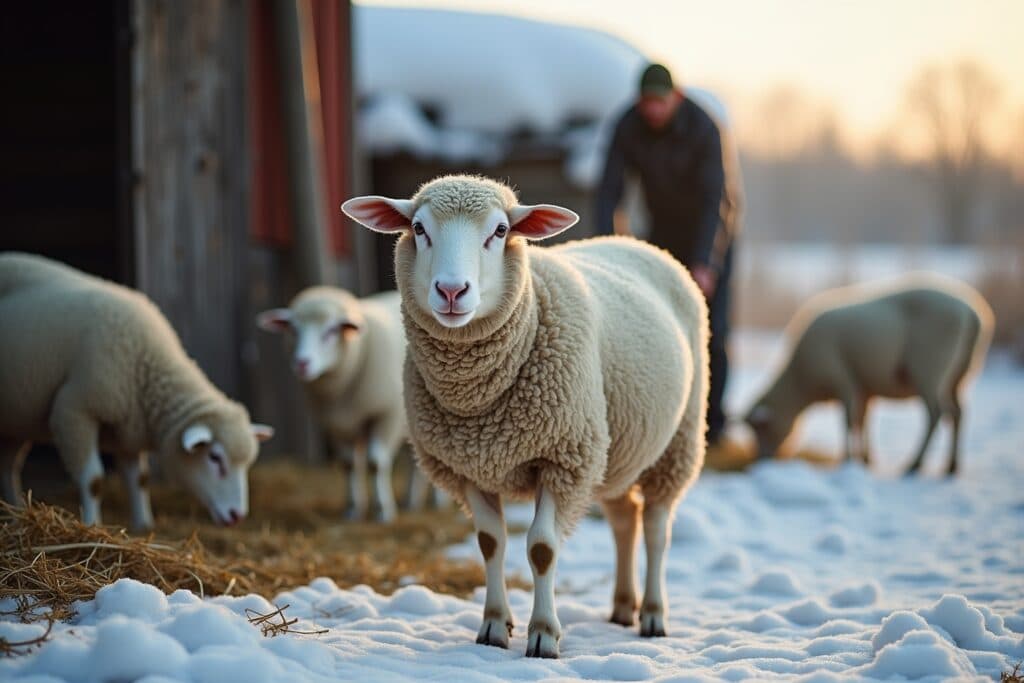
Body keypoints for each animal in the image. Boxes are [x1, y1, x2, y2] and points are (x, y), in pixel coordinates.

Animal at [0, 252, 273, 531]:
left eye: (247, 464)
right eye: (215, 458)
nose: (237, 515)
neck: (146, 363)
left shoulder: (128, 429)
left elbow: (140, 479)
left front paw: (144, 525)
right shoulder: (75, 410)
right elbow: (94, 480)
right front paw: (92, 525)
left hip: (16, 420)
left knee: (8, 466)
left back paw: (15, 512)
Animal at [257, 286, 434, 521]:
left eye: (332, 331)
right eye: (293, 329)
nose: (302, 363)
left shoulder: (387, 415)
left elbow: (375, 463)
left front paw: (382, 511)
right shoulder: (337, 424)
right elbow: (348, 465)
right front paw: (352, 510)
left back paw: (437, 501)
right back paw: (410, 501)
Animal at [343, 175, 708, 658]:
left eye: (500, 231)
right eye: (419, 229)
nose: (452, 291)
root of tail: (636, 242)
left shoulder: (563, 458)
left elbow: (541, 549)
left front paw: (544, 634)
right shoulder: (468, 466)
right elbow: (490, 543)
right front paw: (494, 627)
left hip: (677, 441)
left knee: (655, 528)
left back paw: (652, 613)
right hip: (616, 449)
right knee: (624, 521)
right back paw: (622, 606)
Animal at [745, 275, 993, 476]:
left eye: (761, 429)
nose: (759, 461)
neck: (800, 382)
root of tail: (973, 314)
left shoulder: (843, 379)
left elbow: (848, 421)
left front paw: (847, 460)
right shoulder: (864, 388)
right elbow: (863, 421)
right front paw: (865, 459)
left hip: (930, 367)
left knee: (937, 413)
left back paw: (914, 465)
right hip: (959, 375)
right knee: (958, 413)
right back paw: (951, 466)